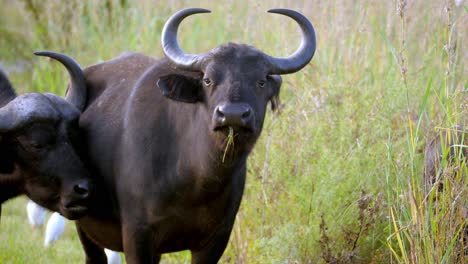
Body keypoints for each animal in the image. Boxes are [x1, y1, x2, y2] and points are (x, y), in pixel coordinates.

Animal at [38, 7, 316, 262]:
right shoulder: (137, 235)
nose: (233, 115)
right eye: (208, 80)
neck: (194, 183)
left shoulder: (216, 239)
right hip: (83, 226)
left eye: (260, 81)